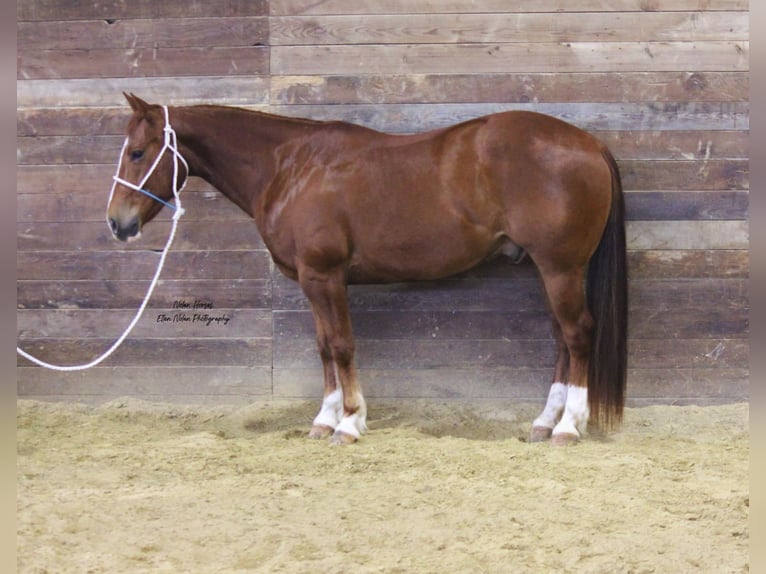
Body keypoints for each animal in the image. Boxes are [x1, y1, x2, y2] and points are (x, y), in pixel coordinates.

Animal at [108, 93, 632, 446]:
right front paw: (324, 421)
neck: (290, 167)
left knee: (578, 335)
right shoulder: (311, 280)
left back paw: (568, 427)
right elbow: (323, 347)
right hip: (548, 270)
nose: (118, 223)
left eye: (137, 152)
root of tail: (588, 143)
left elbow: (341, 346)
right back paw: (544, 422)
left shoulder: (325, 275)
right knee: (561, 338)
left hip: (560, 268)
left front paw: (350, 422)